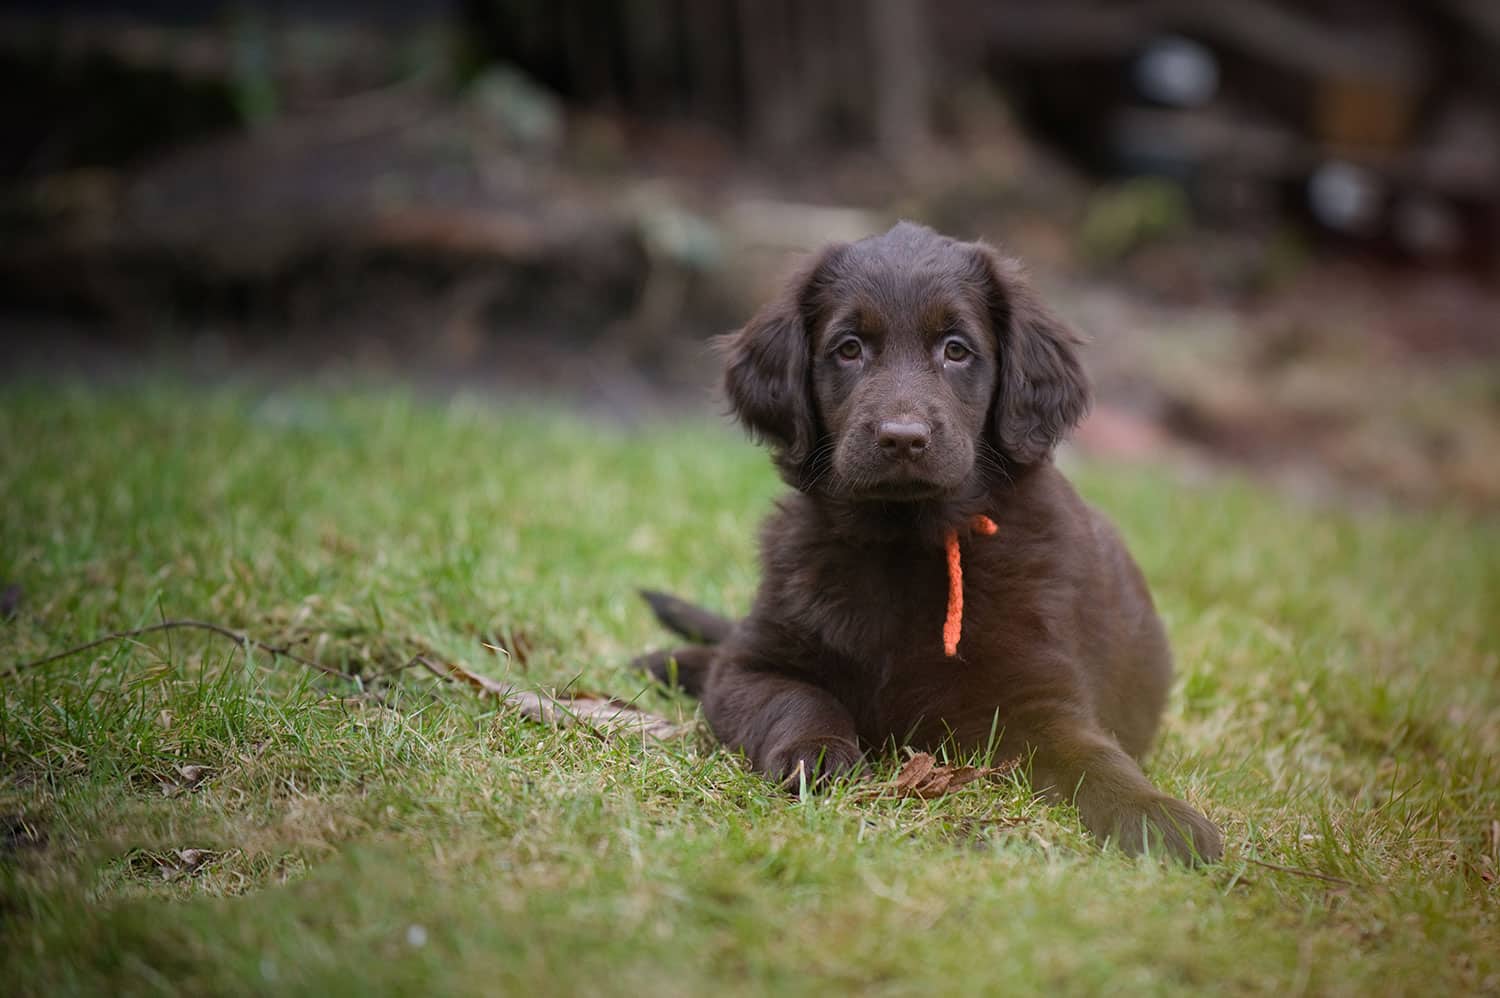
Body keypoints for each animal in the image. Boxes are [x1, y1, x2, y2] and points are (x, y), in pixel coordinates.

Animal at [639, 222, 1224, 858]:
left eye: (956, 350)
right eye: (849, 348)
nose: (902, 438)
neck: (903, 544)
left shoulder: (1041, 698)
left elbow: (1094, 757)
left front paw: (1156, 814)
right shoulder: (753, 667)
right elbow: (798, 698)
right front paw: (817, 755)